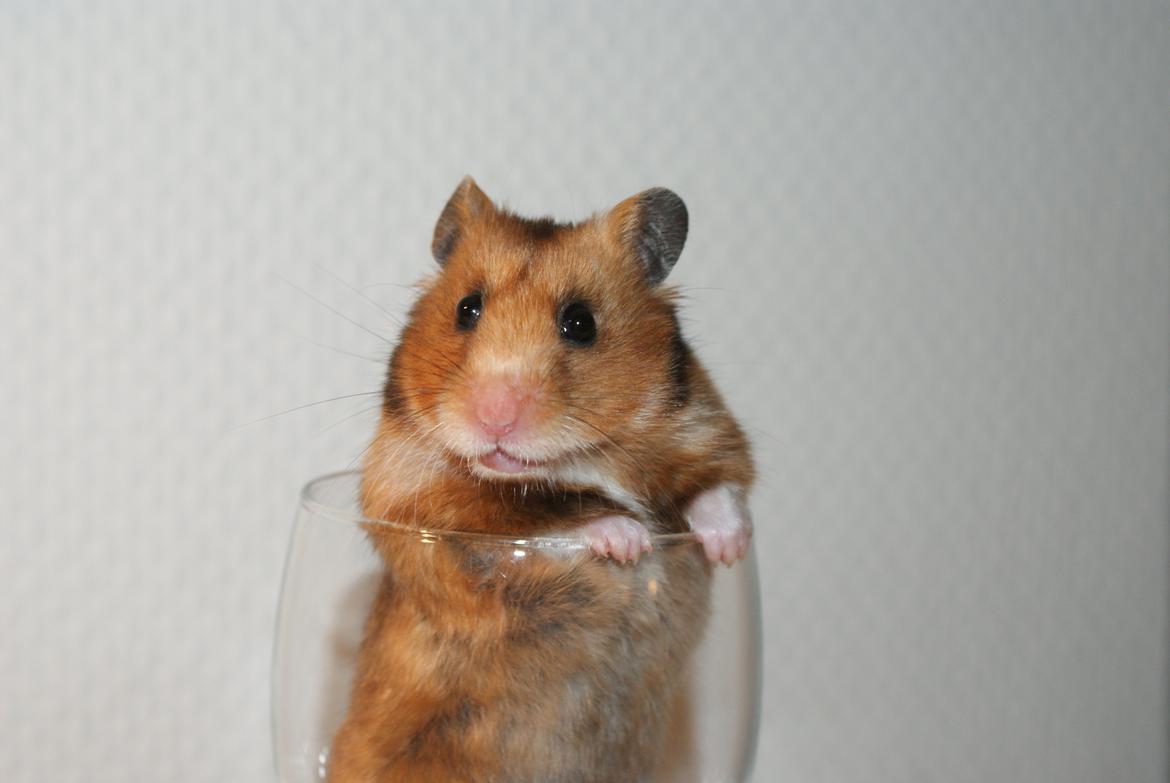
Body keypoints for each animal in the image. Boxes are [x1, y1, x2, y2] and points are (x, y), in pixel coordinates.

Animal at [327, 178, 754, 783]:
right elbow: (542, 512)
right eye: (467, 308)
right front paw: (630, 542)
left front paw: (726, 548)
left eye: (580, 322)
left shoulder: (709, 426)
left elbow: (720, 486)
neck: (577, 458)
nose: (494, 418)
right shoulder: (414, 493)